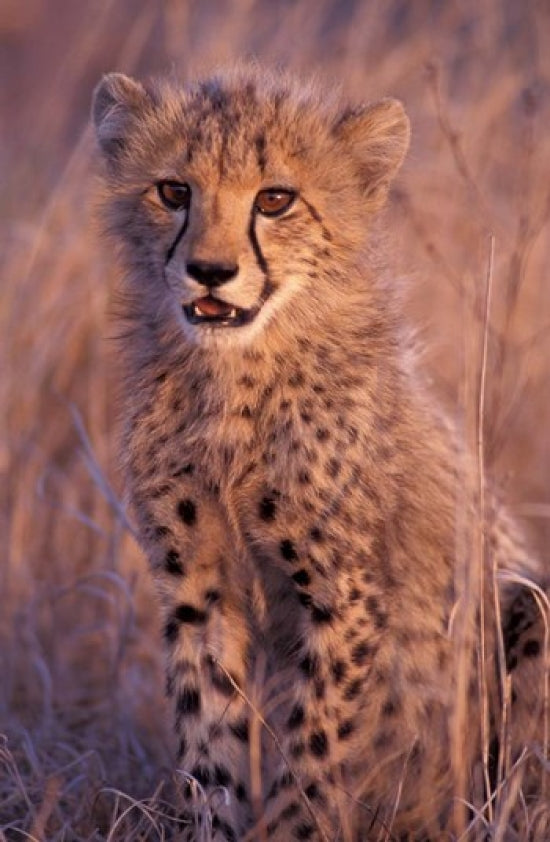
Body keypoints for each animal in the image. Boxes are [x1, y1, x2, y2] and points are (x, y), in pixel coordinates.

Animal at [91, 66, 548, 841]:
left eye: (275, 199)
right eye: (174, 191)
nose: (209, 271)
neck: (235, 377)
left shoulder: (345, 597)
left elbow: (312, 754)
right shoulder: (198, 591)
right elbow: (209, 740)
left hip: (527, 606)